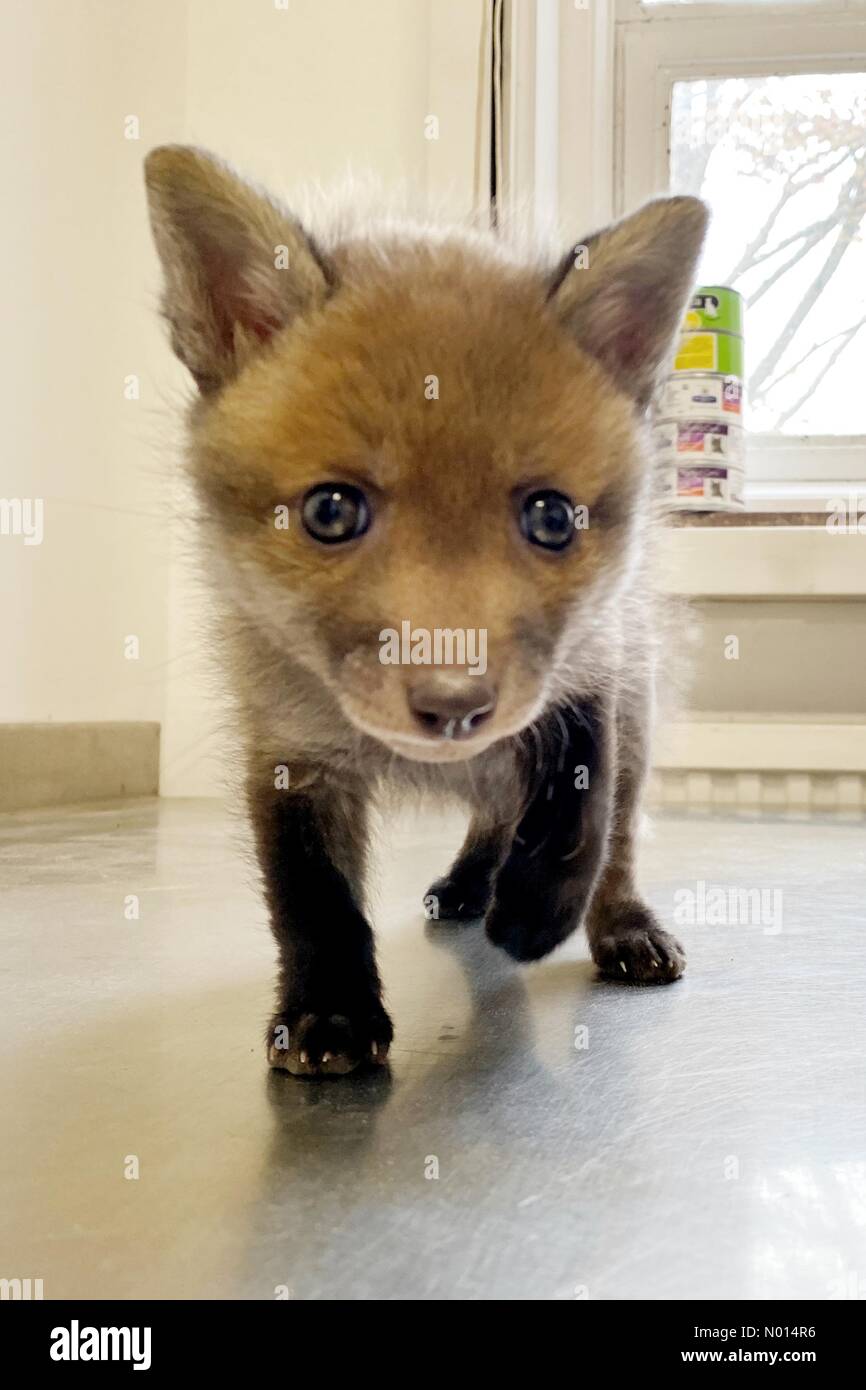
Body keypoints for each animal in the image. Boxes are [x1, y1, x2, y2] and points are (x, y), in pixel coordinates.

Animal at [144, 146, 708, 1077]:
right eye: (331, 511)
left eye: (552, 519)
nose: (454, 706)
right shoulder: (289, 745)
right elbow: (311, 898)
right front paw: (329, 1012)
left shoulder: (593, 660)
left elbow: (580, 804)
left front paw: (536, 915)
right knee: (492, 812)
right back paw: (473, 882)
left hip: (636, 708)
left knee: (614, 836)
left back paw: (615, 924)